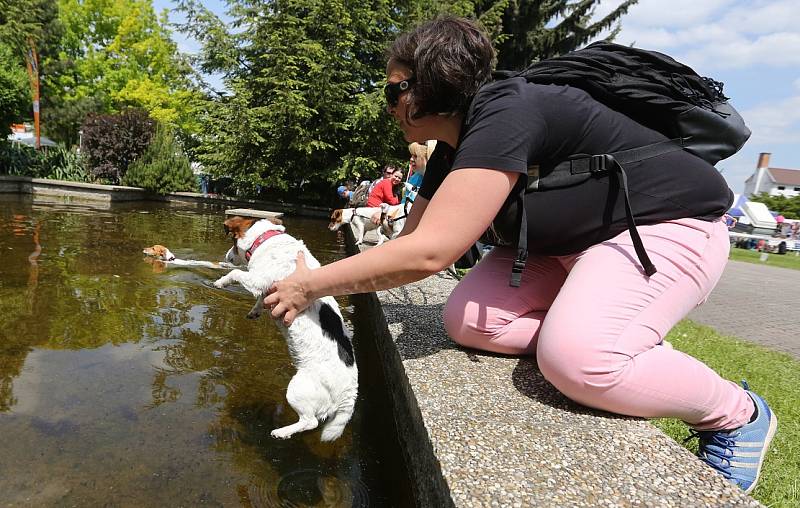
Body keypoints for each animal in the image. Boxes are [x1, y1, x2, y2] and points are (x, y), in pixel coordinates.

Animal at [211, 214, 358, 440]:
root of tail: (349, 393)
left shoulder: (259, 278)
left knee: (310, 421)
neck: (267, 239)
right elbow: (261, 300)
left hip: (299, 389)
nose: (227, 257)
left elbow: (236, 274)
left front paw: (221, 281)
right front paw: (255, 311)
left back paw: (281, 432)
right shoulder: (267, 289)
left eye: (233, 244)